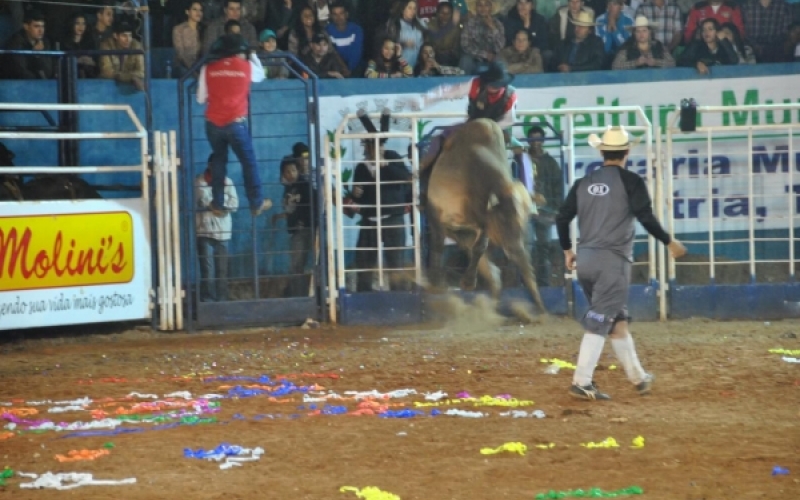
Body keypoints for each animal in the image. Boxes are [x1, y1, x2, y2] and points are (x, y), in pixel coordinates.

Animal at [422, 117, 548, 312]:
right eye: (503, 218)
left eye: (525, 220)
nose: (513, 246)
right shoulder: (436, 211)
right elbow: (439, 242)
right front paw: (453, 283)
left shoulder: (483, 222)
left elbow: (481, 245)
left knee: (493, 271)